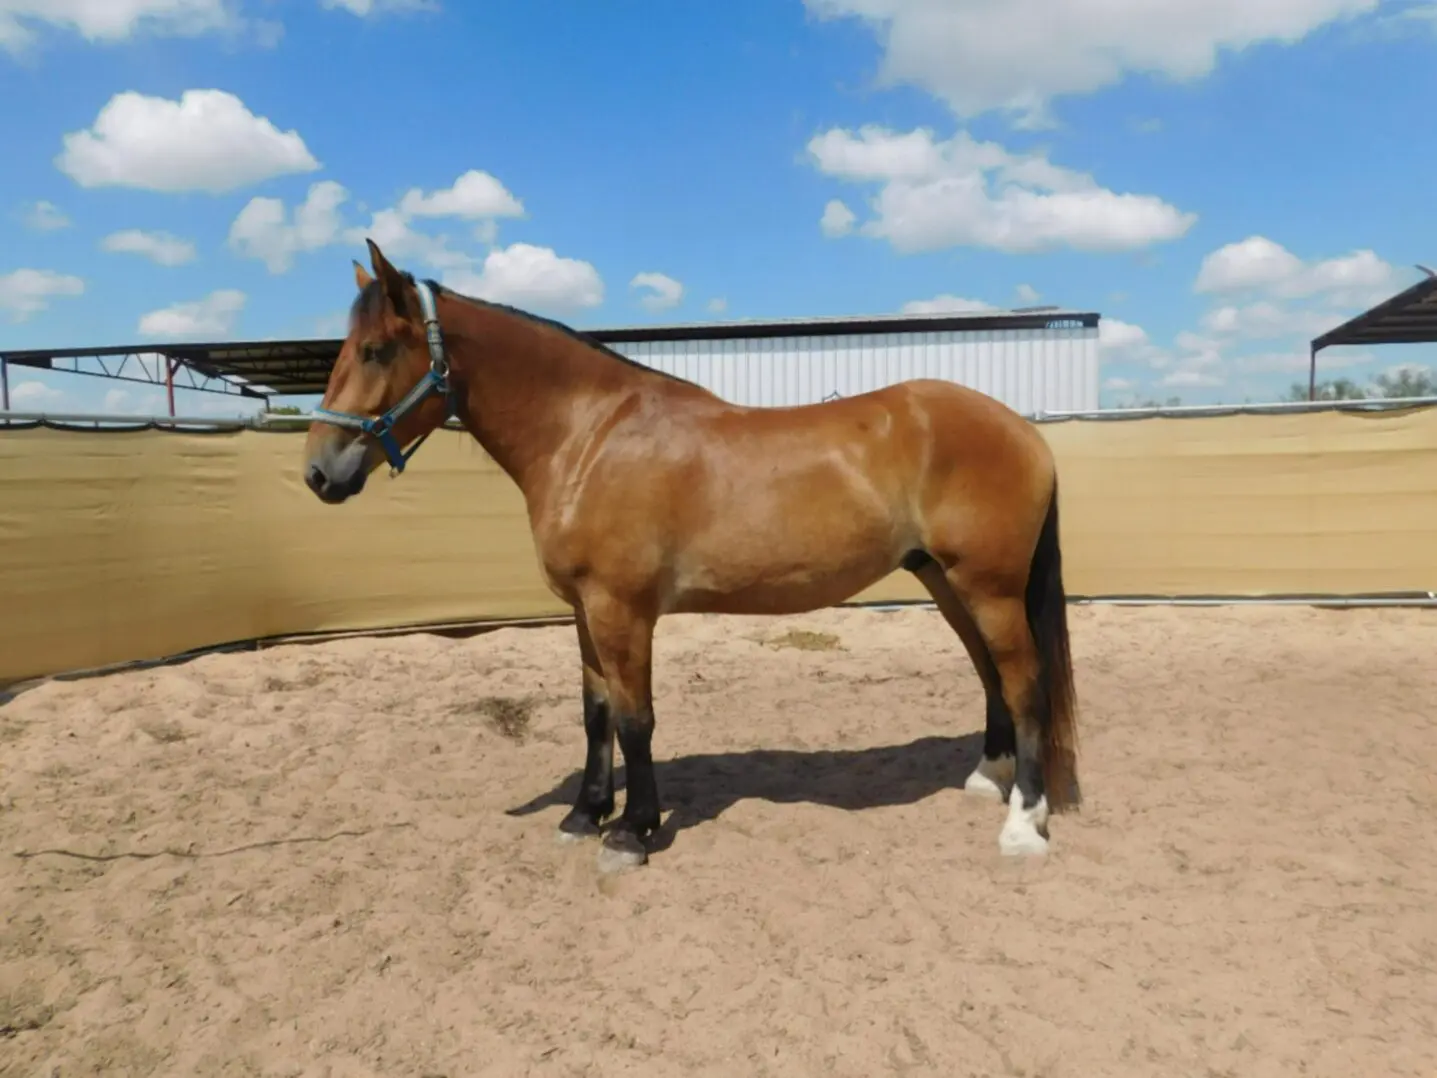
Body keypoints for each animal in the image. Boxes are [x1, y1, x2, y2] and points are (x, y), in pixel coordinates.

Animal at [302, 239, 1082, 873]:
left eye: (375, 351)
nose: (318, 473)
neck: (590, 437)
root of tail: (1022, 431)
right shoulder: (585, 612)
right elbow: (595, 713)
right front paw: (584, 814)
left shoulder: (622, 610)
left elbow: (634, 718)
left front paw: (632, 832)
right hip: (946, 581)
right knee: (989, 673)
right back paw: (987, 780)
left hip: (987, 586)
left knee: (1022, 682)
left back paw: (1023, 824)